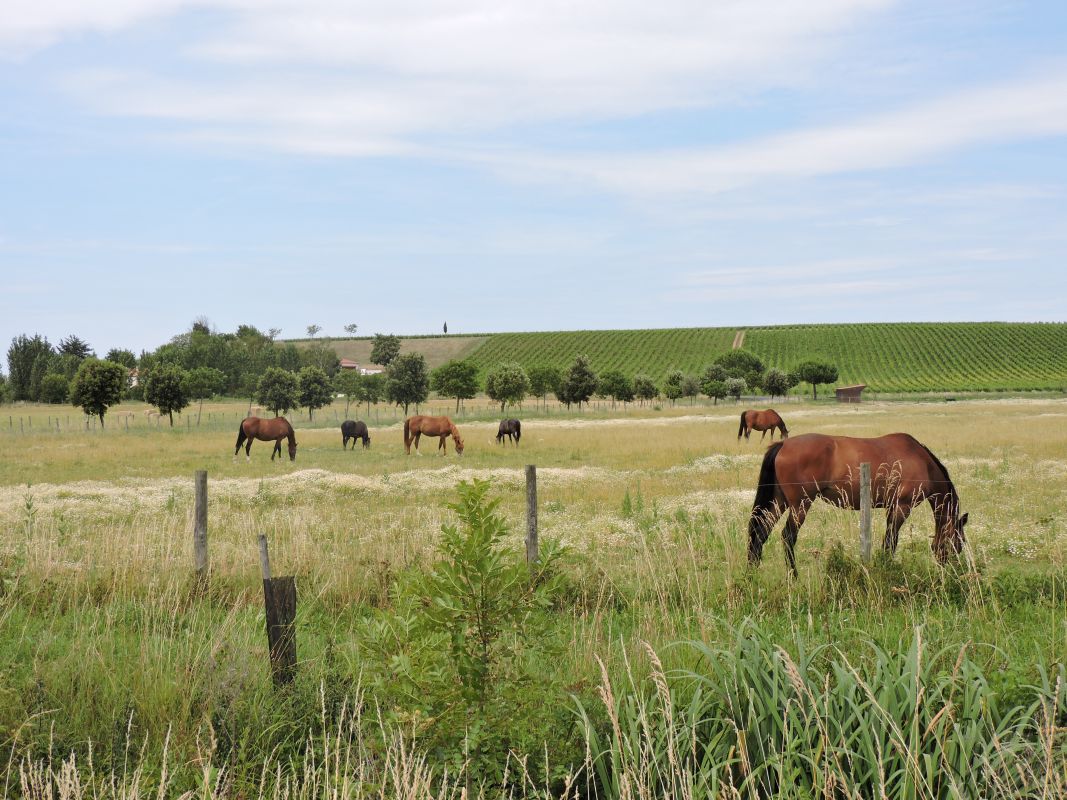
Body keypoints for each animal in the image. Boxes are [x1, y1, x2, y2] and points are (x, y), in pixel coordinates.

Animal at [751, 433, 968, 576]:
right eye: (958, 544)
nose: (950, 571)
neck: (922, 462)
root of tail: (783, 444)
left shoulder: (892, 507)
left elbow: (888, 540)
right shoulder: (902, 507)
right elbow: (891, 541)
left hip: (779, 502)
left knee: (761, 532)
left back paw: (753, 570)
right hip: (800, 505)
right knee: (787, 536)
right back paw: (794, 576)